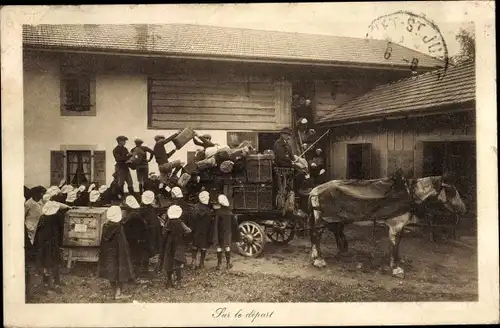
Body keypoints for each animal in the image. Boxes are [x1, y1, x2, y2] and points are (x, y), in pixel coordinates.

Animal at [306, 173, 466, 278]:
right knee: (315, 235)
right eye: (451, 190)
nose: (463, 209)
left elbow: (396, 244)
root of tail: (314, 190)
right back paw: (319, 260)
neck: (408, 194)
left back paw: (315, 257)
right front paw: (396, 269)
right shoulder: (395, 226)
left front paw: (396, 263)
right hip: (323, 219)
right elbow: (394, 245)